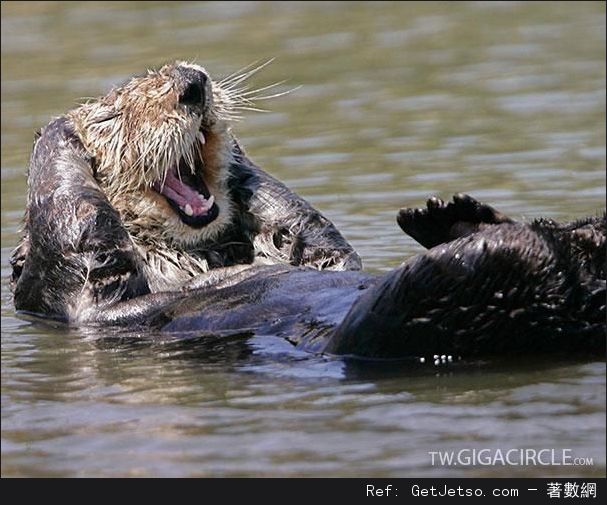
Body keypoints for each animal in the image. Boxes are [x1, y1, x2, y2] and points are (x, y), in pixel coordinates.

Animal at [8, 60, 604, 358]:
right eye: (115, 117)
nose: (193, 85)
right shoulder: (78, 294)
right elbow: (78, 233)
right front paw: (58, 132)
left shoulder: (317, 248)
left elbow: (312, 237)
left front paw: (241, 166)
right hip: (415, 316)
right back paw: (479, 233)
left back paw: (451, 216)